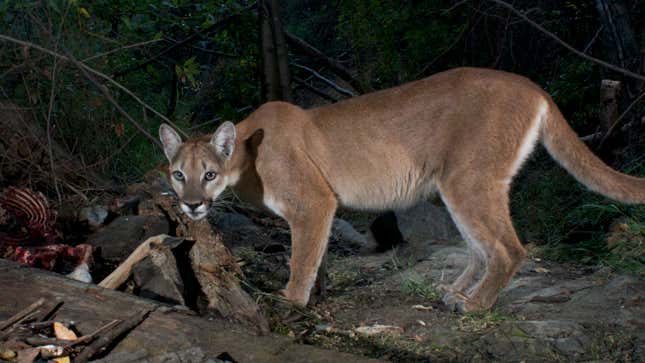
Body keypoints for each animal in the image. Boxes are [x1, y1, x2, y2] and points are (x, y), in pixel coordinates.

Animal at [157, 67, 644, 312]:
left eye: (209, 174)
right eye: (178, 174)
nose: (192, 205)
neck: (246, 154)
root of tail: (530, 83)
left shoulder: (313, 202)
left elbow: (301, 257)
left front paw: (291, 300)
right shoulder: (320, 210)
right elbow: (317, 255)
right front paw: (316, 296)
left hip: (467, 179)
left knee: (509, 249)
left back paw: (474, 306)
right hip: (459, 185)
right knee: (481, 248)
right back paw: (456, 294)